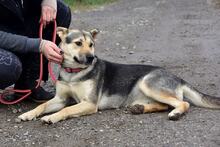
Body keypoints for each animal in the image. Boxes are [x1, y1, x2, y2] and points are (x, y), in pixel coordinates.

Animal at [18, 27, 220, 123]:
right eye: (78, 43)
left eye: (91, 44)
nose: (91, 58)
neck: (73, 73)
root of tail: (178, 77)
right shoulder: (60, 99)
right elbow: (42, 105)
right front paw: (28, 114)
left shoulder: (89, 103)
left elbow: (66, 110)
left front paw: (52, 117)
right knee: (164, 105)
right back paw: (140, 109)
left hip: (148, 83)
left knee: (182, 103)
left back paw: (176, 113)